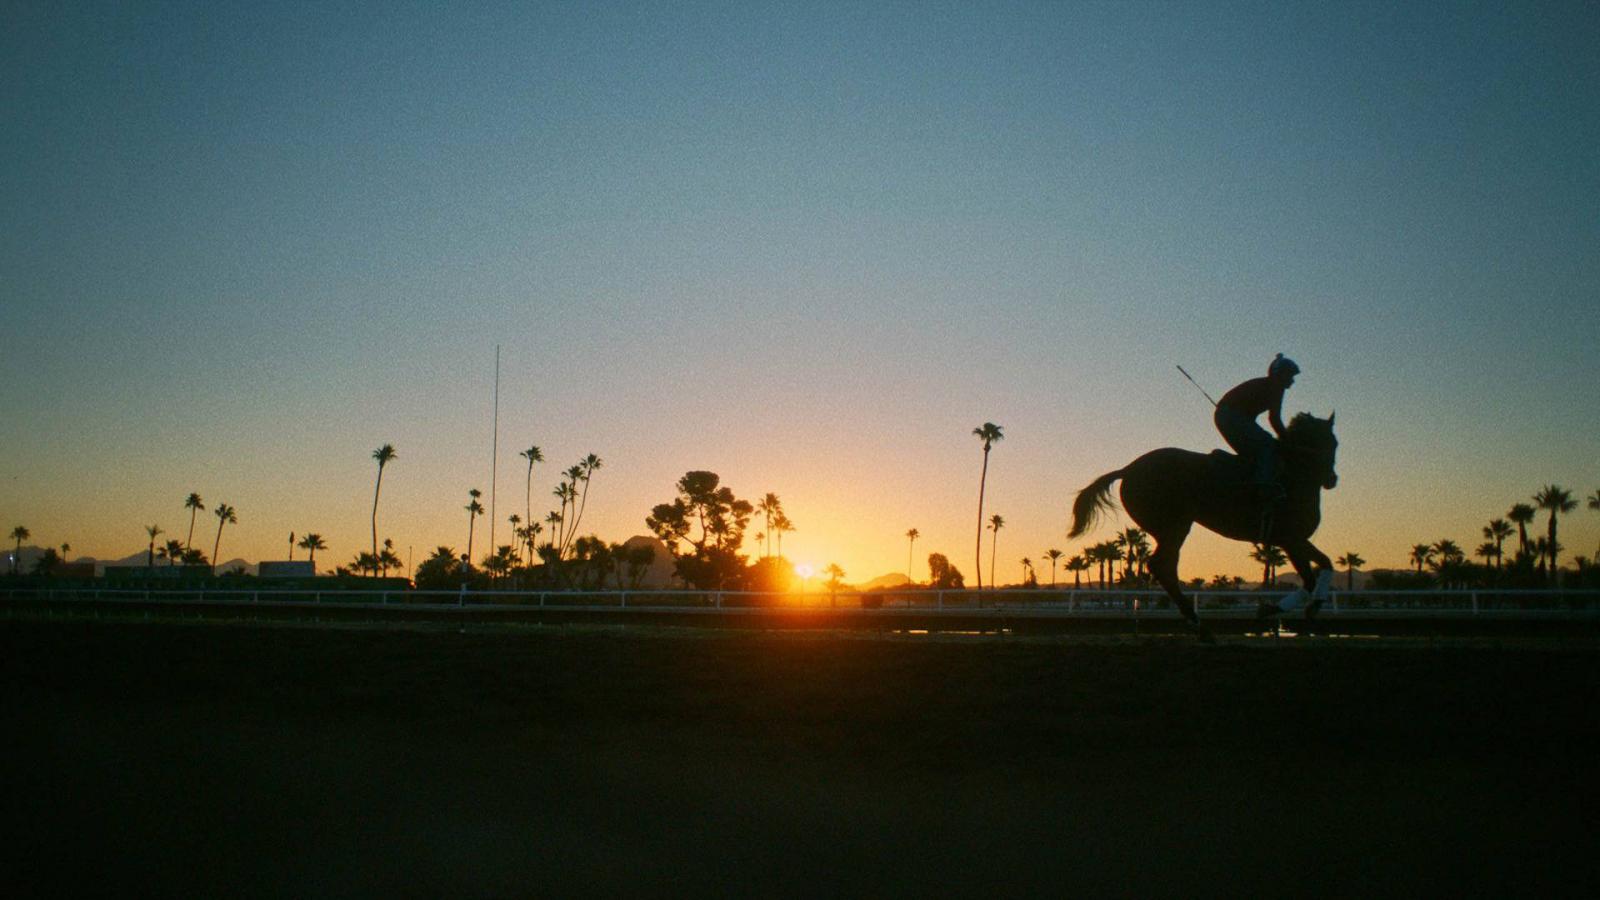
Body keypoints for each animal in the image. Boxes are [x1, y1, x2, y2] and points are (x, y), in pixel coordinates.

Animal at [1075, 413, 1337, 637]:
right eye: (1329, 442)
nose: (1332, 479)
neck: (1293, 478)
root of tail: (1128, 469)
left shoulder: (1293, 541)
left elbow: (1323, 565)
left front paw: (1304, 607)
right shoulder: (1291, 539)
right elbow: (1313, 575)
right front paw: (1280, 608)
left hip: (1169, 528)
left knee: (1164, 567)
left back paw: (1197, 624)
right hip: (1174, 525)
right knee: (1162, 566)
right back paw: (1198, 625)